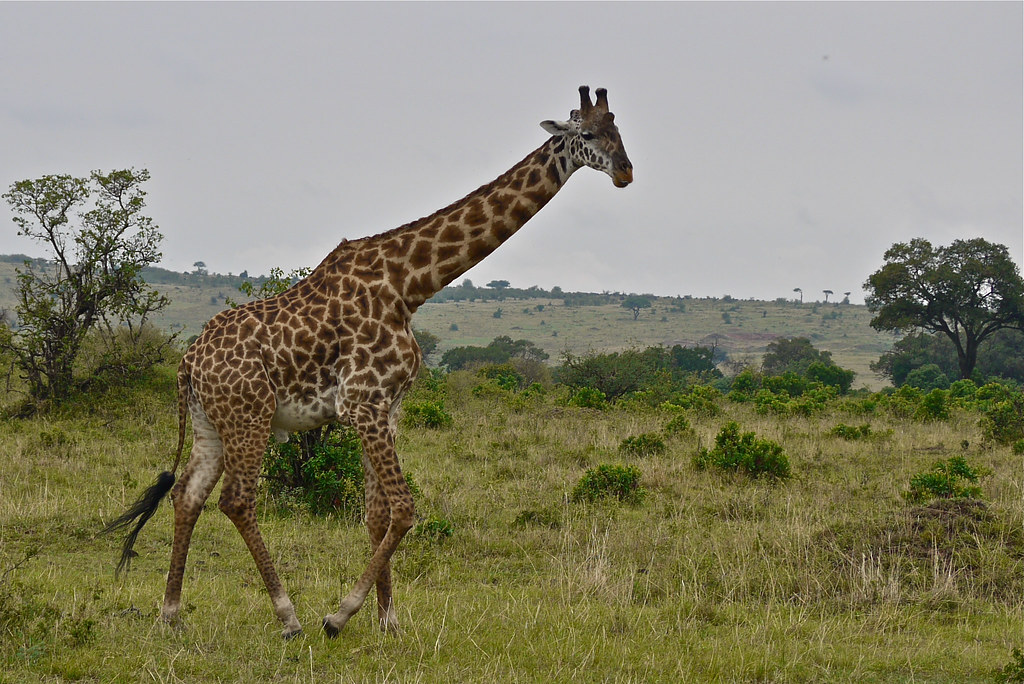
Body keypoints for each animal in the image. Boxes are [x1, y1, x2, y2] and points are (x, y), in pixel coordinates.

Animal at [105, 87, 630, 643]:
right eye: (587, 134)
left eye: (619, 131)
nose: (626, 171)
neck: (410, 285)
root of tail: (188, 360)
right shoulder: (364, 403)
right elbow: (404, 508)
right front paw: (341, 614)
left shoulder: (389, 407)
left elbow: (378, 514)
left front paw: (388, 620)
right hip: (250, 415)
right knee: (237, 499)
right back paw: (287, 615)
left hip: (211, 422)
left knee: (188, 495)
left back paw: (170, 612)